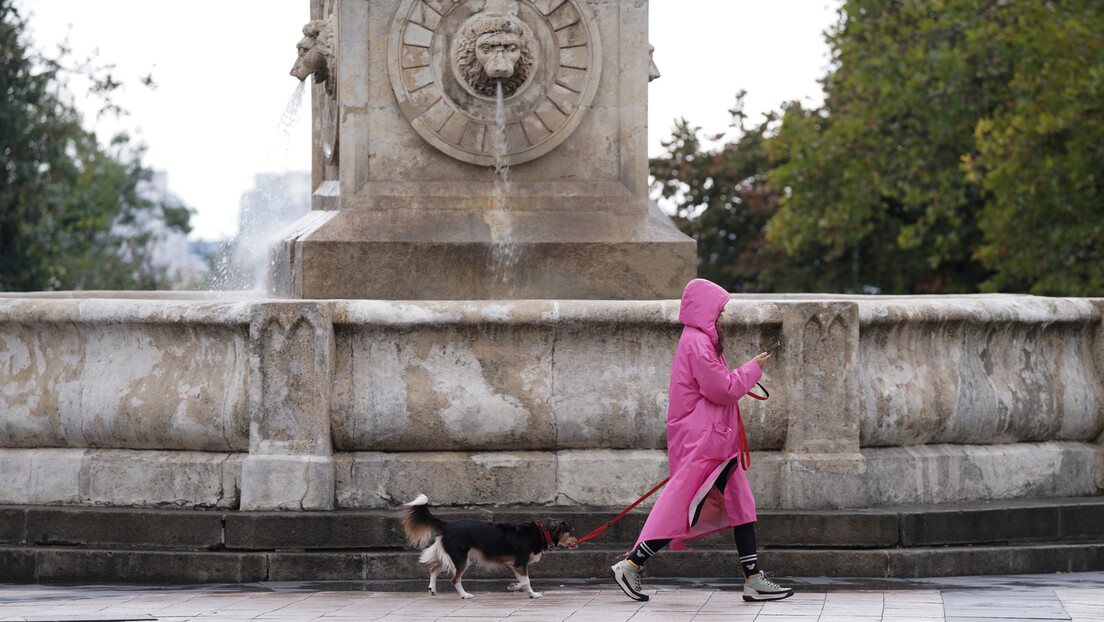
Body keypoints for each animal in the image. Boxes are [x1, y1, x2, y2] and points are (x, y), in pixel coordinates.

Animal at [404, 497, 578, 596]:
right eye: (571, 531)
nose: (577, 541)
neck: (542, 531)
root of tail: (448, 525)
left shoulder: (518, 565)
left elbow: (525, 582)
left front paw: (531, 594)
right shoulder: (519, 563)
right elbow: (526, 581)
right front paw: (515, 587)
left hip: (454, 557)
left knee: (433, 569)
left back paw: (432, 589)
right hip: (461, 559)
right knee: (454, 579)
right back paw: (465, 595)